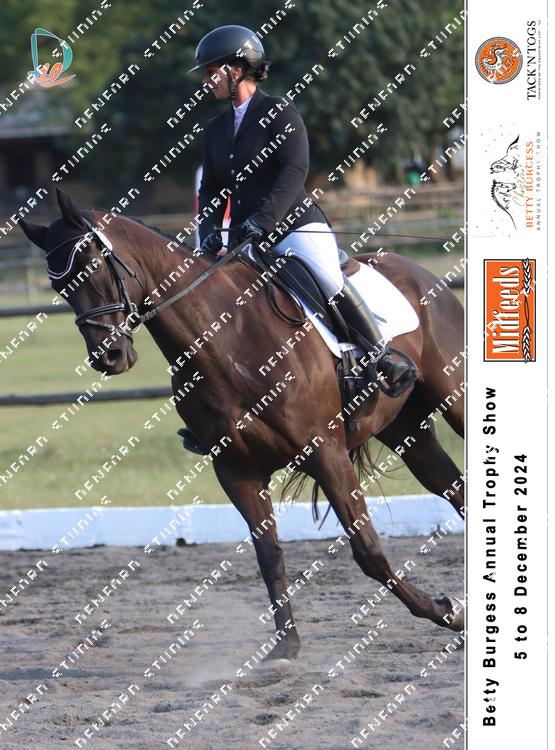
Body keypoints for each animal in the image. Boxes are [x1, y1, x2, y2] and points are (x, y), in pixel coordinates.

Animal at [20, 188, 465, 662]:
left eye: (92, 267)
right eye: (58, 286)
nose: (109, 356)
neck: (224, 339)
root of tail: (416, 271)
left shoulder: (326, 453)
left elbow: (368, 552)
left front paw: (448, 612)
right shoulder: (236, 468)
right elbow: (268, 556)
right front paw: (285, 645)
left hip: (455, 399)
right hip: (406, 430)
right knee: (453, 487)